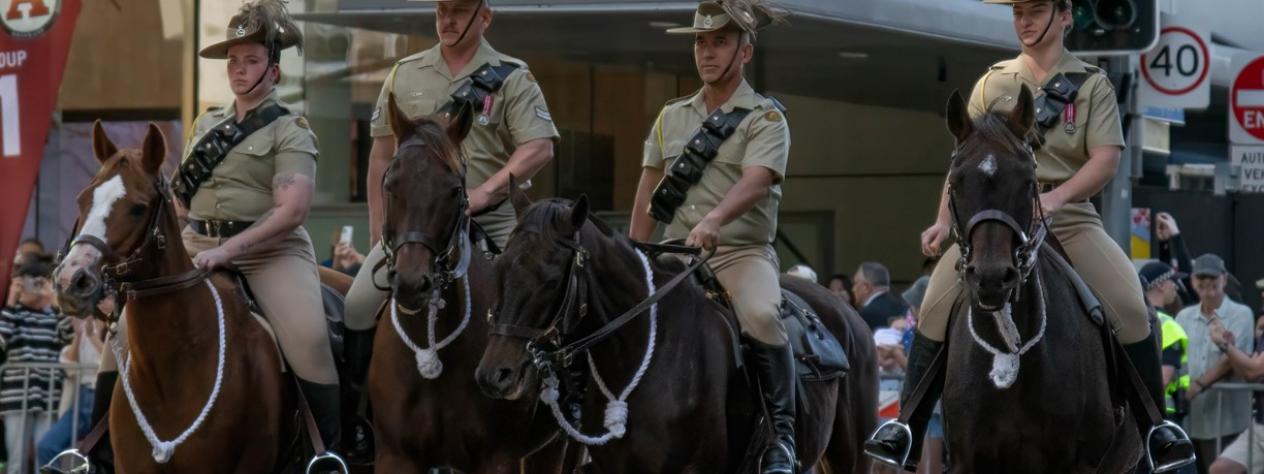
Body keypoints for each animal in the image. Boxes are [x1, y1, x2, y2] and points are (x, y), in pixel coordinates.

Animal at [369, 98, 571, 472]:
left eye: (454, 190)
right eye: (391, 184)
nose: (412, 283)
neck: (433, 342)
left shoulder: (499, 457)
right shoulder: (396, 455)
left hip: (554, 448)